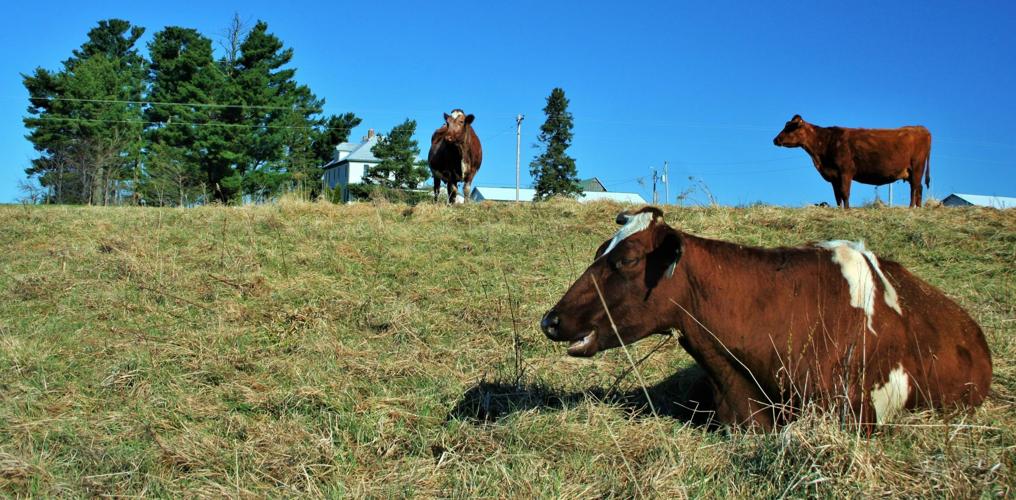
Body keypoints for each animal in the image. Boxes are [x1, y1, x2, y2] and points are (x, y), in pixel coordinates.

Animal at [773, 115, 932, 208]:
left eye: (790, 127)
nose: (775, 139)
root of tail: (921, 128)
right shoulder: (834, 176)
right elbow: (837, 196)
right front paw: (840, 210)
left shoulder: (845, 171)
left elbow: (845, 193)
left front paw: (848, 210)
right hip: (912, 171)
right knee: (919, 188)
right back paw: (918, 208)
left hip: (917, 166)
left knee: (915, 188)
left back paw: (911, 208)